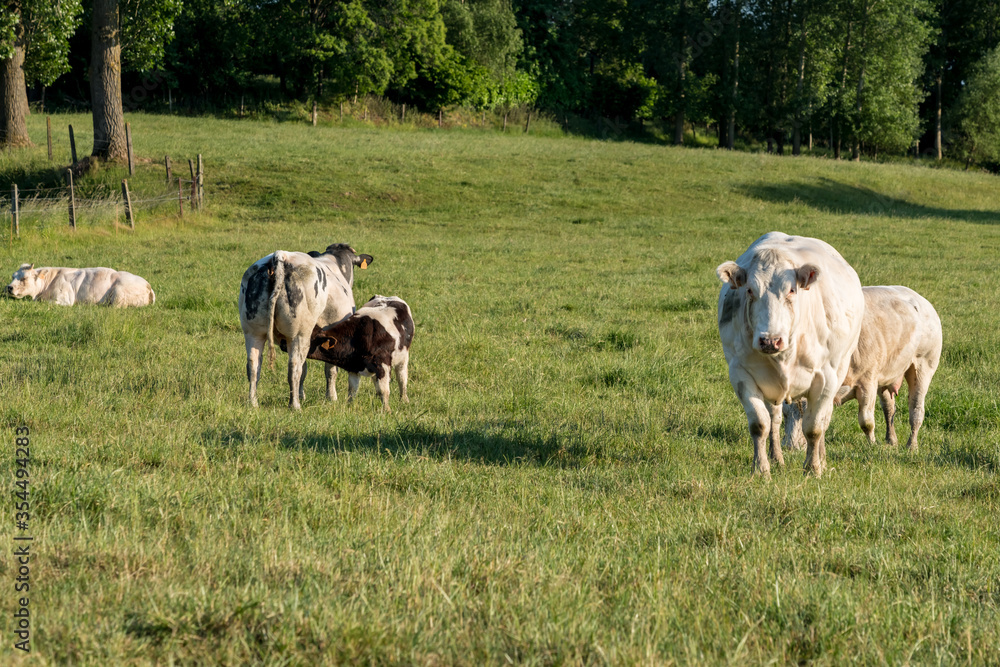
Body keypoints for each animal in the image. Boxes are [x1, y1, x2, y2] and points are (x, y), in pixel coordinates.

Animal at [6, 264, 155, 307]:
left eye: (24, 278)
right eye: (13, 276)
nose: (9, 287)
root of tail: (148, 286)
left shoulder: (65, 299)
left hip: (119, 295)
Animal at [238, 243, 373, 410]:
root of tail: (280, 256)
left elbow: (305, 369)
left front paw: (303, 395)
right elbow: (330, 370)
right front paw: (331, 397)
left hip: (253, 332)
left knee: (253, 365)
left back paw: (253, 403)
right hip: (299, 334)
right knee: (294, 367)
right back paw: (295, 405)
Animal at [716, 232, 865, 477]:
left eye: (792, 290)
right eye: (749, 290)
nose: (770, 340)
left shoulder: (826, 378)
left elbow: (814, 428)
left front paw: (813, 468)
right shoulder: (740, 374)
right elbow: (760, 425)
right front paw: (761, 468)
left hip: (840, 368)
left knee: (823, 419)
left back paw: (822, 459)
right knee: (775, 419)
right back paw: (777, 457)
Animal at [782, 286, 942, 451]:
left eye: (805, 413)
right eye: (785, 416)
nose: (790, 446)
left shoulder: (868, 382)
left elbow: (866, 421)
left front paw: (872, 444)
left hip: (923, 366)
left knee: (916, 410)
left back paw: (912, 445)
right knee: (889, 408)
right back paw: (891, 439)